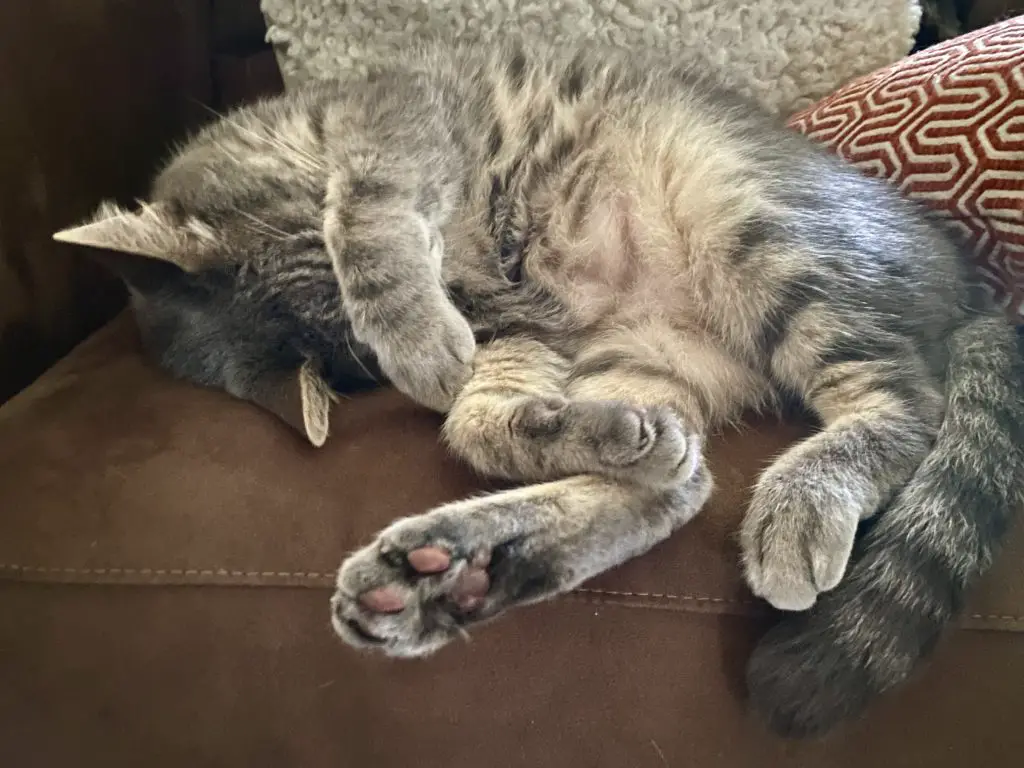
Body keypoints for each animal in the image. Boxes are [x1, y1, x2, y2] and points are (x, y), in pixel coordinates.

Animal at [54, 40, 1024, 741]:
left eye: (334, 281)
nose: (476, 308)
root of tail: (974, 289)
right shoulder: (516, 337)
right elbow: (477, 418)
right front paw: (472, 377)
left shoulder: (396, 125)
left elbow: (367, 209)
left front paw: (412, 326)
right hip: (648, 358)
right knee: (681, 482)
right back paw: (464, 566)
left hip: (759, 231)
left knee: (907, 406)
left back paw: (801, 497)